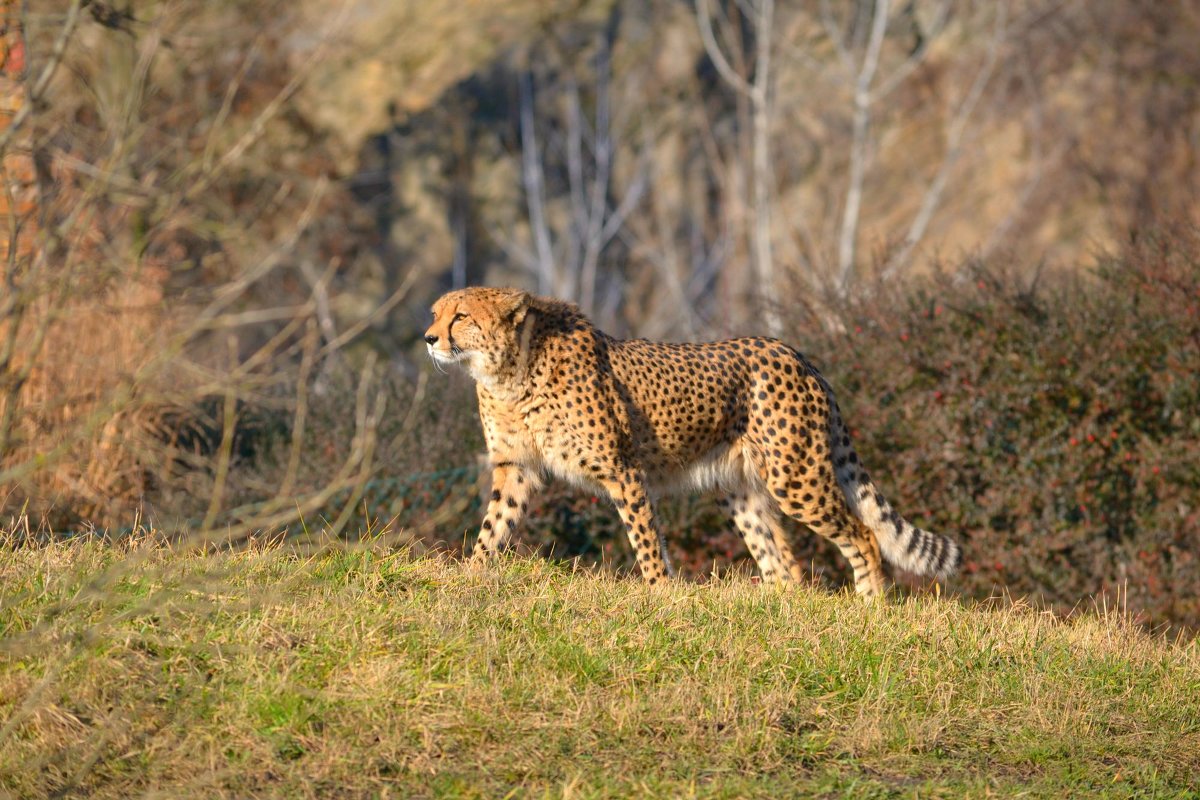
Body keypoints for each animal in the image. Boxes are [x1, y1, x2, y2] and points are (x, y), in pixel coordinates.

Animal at [427, 287, 960, 594]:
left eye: (461, 316)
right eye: (436, 313)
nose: (429, 338)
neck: (510, 370)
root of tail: (797, 354)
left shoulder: (623, 469)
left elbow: (644, 537)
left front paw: (660, 594)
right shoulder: (516, 467)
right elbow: (493, 526)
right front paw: (469, 576)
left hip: (795, 477)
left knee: (864, 536)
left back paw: (870, 610)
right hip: (740, 491)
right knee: (784, 565)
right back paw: (778, 610)